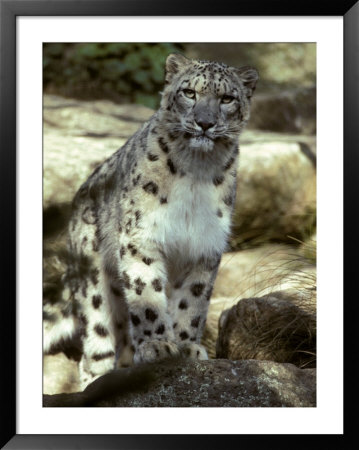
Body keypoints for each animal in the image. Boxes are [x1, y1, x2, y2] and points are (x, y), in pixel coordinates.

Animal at [44, 53, 258, 390]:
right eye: (189, 92)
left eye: (227, 99)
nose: (205, 123)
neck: (197, 170)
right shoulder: (141, 237)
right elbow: (146, 294)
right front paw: (158, 345)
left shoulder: (204, 247)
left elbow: (192, 302)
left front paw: (186, 346)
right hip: (95, 284)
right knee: (96, 344)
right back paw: (98, 381)